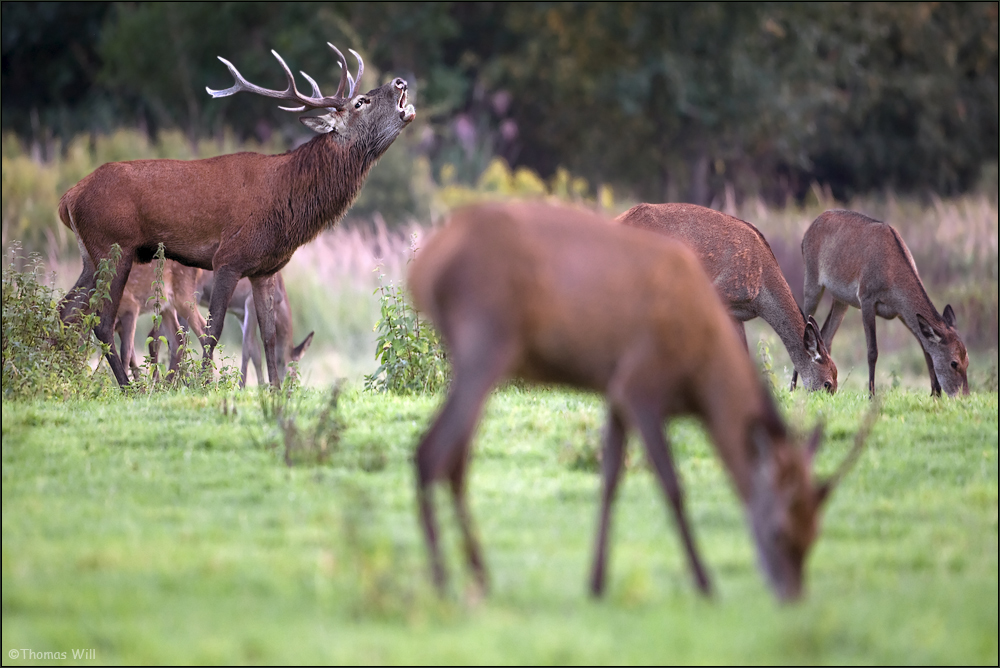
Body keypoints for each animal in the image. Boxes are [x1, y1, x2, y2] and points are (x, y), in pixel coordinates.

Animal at [59, 43, 414, 386]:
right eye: (360, 102)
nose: (401, 81)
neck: (285, 201)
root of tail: (68, 198)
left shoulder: (265, 269)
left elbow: (268, 337)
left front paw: (274, 392)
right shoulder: (227, 258)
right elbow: (213, 332)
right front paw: (206, 386)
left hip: (90, 256)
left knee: (67, 310)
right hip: (114, 249)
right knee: (102, 323)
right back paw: (128, 388)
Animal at [796, 209, 968, 396]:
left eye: (967, 360)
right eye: (954, 363)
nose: (964, 395)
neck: (892, 275)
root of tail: (806, 234)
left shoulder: (901, 312)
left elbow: (925, 347)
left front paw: (935, 393)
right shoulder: (866, 298)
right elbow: (872, 351)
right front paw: (871, 395)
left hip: (841, 299)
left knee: (826, 335)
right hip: (812, 280)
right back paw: (793, 387)